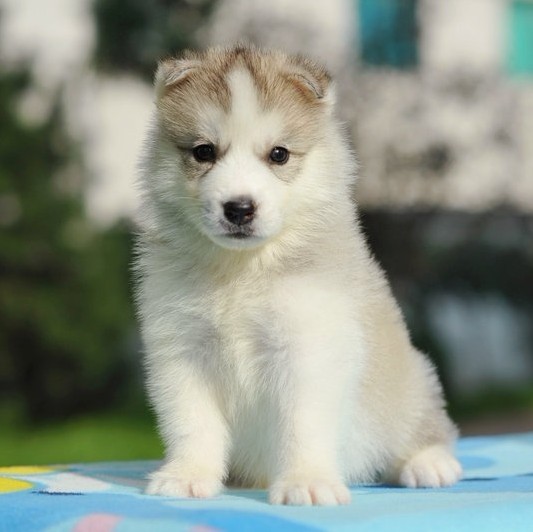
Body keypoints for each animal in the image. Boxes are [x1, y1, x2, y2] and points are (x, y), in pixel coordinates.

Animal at [134, 43, 462, 504]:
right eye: (203, 152)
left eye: (279, 154)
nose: (238, 208)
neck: (243, 269)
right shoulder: (181, 352)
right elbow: (191, 423)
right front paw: (187, 475)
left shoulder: (307, 349)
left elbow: (301, 425)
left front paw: (306, 481)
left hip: (408, 383)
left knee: (423, 427)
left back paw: (428, 462)